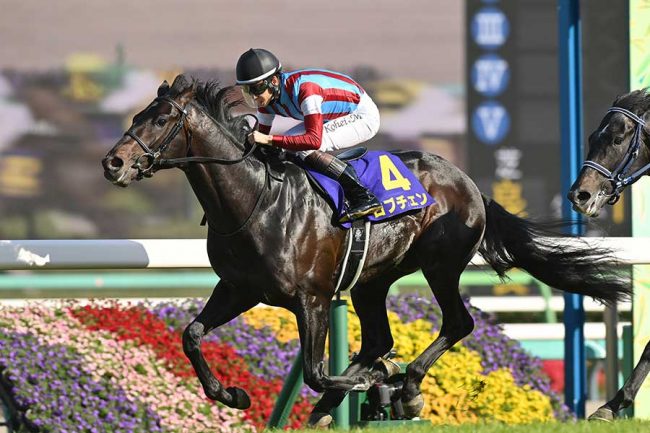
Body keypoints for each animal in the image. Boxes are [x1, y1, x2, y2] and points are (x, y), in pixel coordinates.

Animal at [102, 74, 630, 426]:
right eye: (136, 116)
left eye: (162, 119)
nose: (114, 163)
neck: (255, 201)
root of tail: (468, 182)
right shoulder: (239, 289)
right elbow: (192, 334)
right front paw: (231, 394)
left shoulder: (312, 299)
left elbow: (317, 371)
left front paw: (369, 383)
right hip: (371, 281)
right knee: (379, 339)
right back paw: (360, 389)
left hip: (439, 265)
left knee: (456, 323)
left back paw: (404, 387)